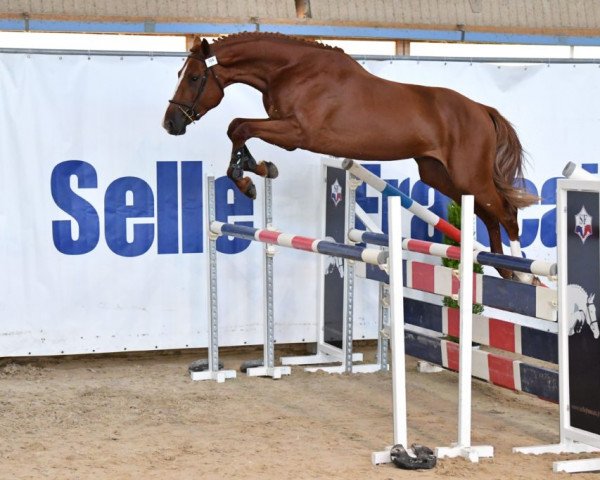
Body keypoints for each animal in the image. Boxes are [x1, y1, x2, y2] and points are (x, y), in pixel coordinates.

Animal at [163, 32, 540, 282]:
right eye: (179, 74)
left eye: (194, 77)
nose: (171, 123)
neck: (292, 69)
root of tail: (482, 110)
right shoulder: (285, 129)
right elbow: (238, 128)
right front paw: (255, 171)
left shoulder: (298, 133)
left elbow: (239, 127)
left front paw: (250, 176)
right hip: (439, 175)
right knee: (489, 215)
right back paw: (503, 267)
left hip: (468, 175)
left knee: (506, 213)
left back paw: (524, 272)